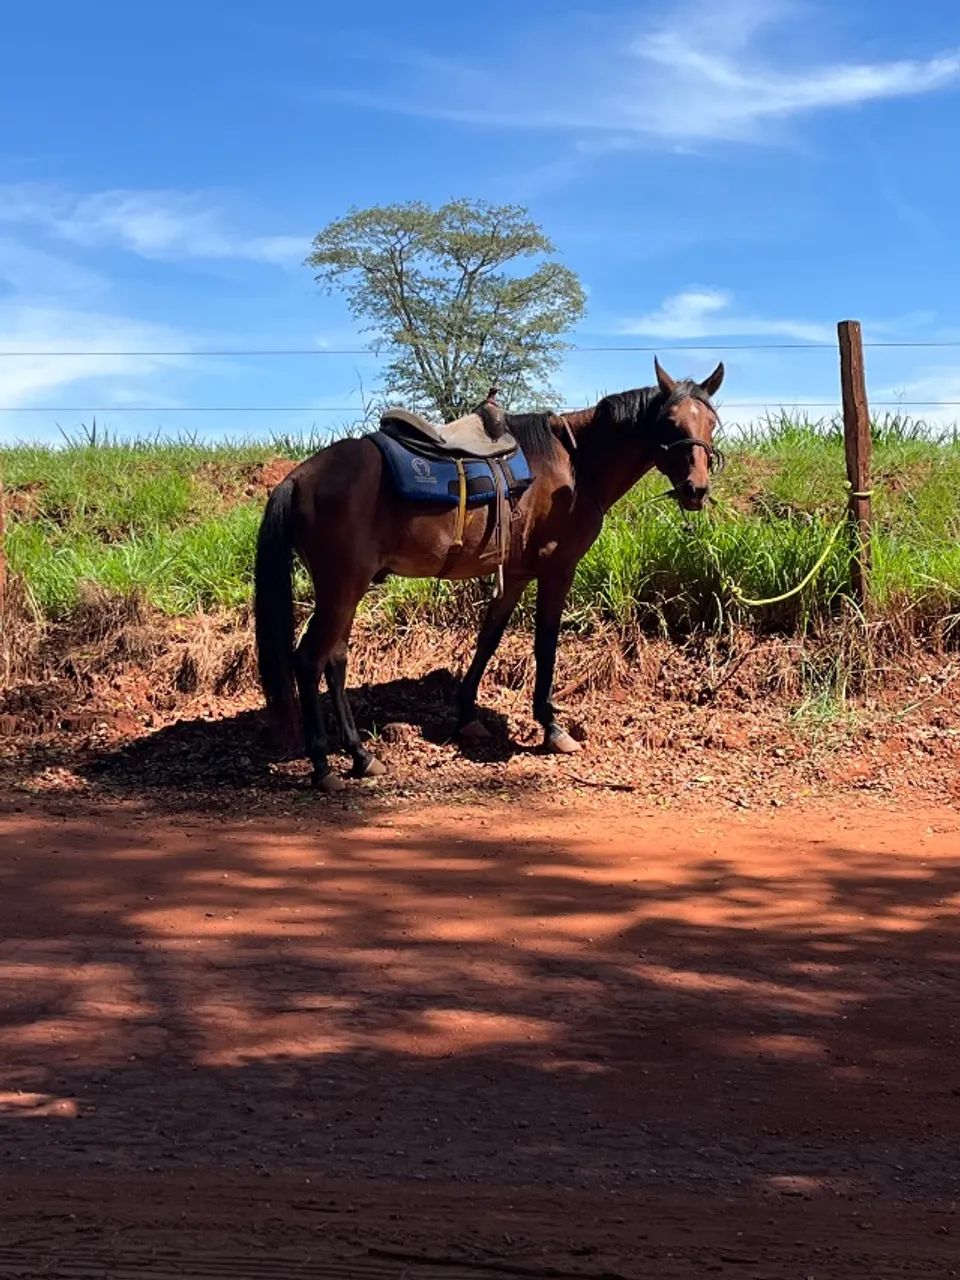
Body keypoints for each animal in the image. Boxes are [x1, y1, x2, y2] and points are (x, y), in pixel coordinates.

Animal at [254, 358, 724, 792]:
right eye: (670, 422)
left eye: (711, 422)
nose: (696, 489)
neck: (576, 463)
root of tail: (297, 478)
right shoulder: (557, 569)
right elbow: (545, 645)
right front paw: (551, 727)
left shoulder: (514, 574)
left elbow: (489, 639)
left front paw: (466, 717)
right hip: (341, 588)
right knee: (309, 660)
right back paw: (322, 765)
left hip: (346, 590)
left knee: (334, 661)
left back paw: (360, 755)